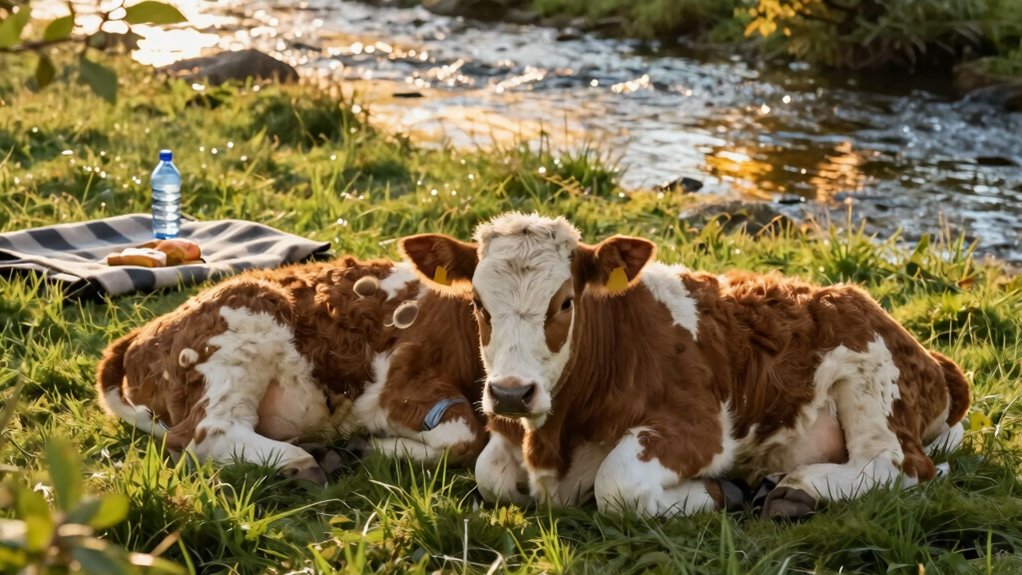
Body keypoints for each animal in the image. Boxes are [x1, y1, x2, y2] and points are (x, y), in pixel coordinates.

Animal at [96, 256, 487, 484]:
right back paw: (304, 462)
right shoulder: (397, 385)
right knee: (206, 435)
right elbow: (465, 436)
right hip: (242, 328)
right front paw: (368, 446)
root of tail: (141, 334)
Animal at [399, 212, 971, 518]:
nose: (512, 393)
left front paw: (720, 492)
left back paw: (797, 486)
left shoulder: (701, 428)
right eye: (478, 303)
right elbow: (490, 473)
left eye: (564, 303)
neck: (552, 441)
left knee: (902, 466)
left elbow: (617, 485)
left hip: (870, 385)